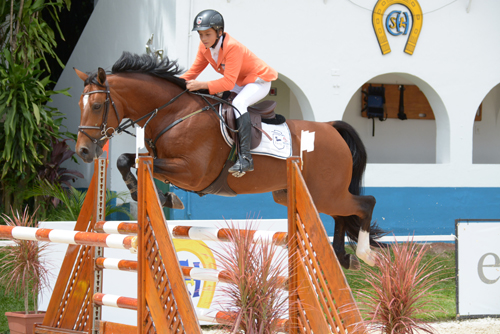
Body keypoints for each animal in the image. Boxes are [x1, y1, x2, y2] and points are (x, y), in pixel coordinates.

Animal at [73, 52, 382, 272]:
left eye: (97, 106)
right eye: (80, 105)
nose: (84, 152)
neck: (174, 113)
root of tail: (331, 128)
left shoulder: (192, 172)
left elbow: (130, 161)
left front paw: (164, 198)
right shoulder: (164, 163)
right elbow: (125, 161)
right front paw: (158, 197)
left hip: (326, 193)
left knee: (365, 204)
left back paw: (364, 254)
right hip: (298, 195)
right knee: (341, 215)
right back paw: (343, 257)